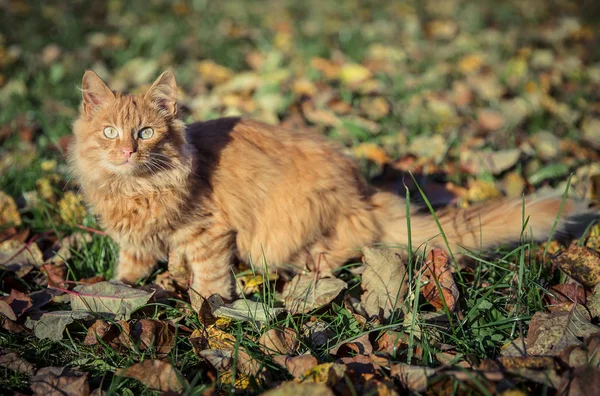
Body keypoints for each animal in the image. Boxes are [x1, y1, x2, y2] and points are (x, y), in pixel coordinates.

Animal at [69, 69, 592, 304]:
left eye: (145, 133)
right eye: (110, 133)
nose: (126, 152)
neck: (137, 190)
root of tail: (364, 192)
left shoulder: (209, 233)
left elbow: (211, 281)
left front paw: (205, 310)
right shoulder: (136, 241)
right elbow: (130, 268)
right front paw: (117, 289)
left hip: (286, 237)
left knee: (349, 248)